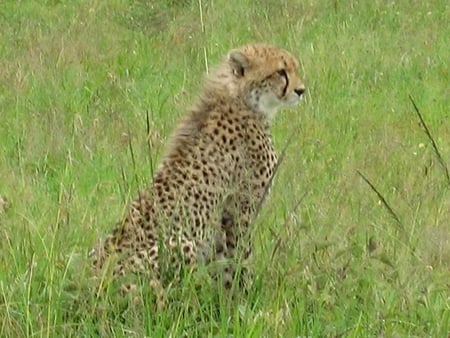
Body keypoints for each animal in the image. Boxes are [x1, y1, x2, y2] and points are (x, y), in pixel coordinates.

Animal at [90, 43, 306, 298]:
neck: (241, 97)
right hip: (181, 244)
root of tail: (89, 283)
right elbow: (240, 258)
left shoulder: (222, 220)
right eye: (281, 72)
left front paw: (227, 298)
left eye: (294, 68)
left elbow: (223, 266)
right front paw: (245, 296)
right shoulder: (240, 210)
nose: (301, 90)